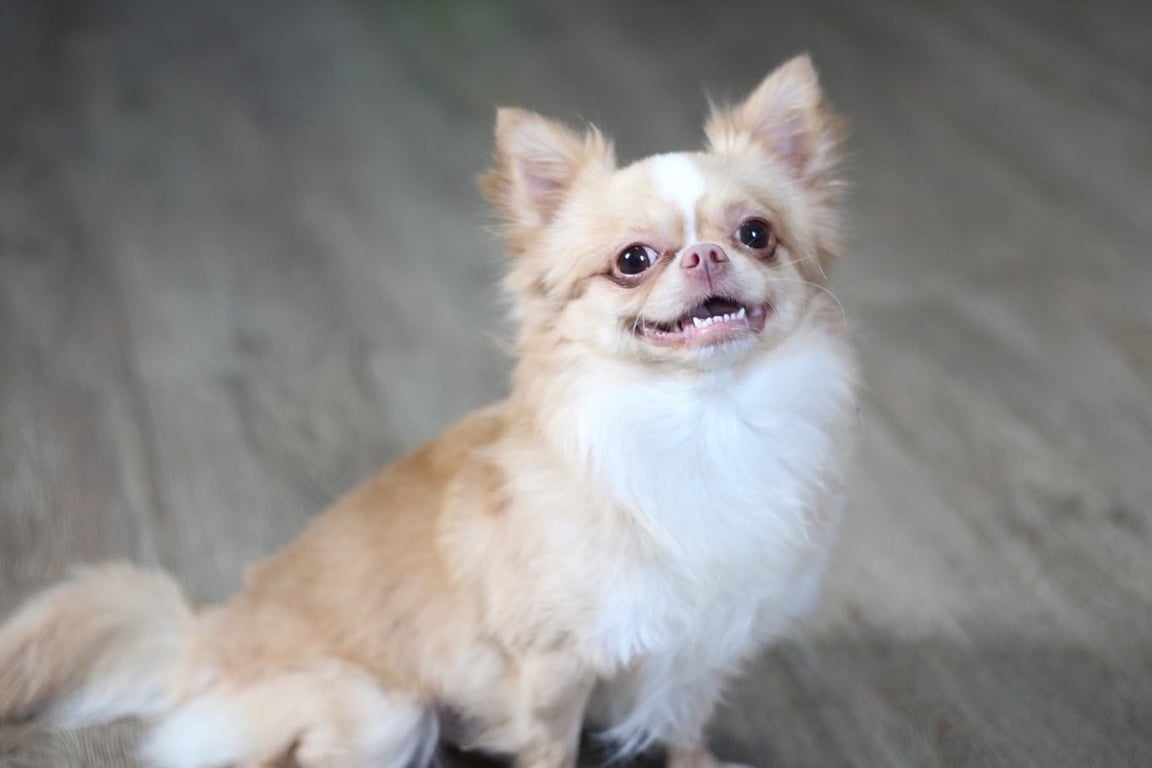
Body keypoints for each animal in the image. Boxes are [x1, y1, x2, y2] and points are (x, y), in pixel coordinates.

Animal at [0, 55, 857, 768]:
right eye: (633, 261)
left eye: (757, 234)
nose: (707, 254)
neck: (707, 418)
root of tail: (200, 635)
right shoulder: (552, 667)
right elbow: (553, 749)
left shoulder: (705, 646)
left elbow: (684, 728)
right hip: (381, 713)